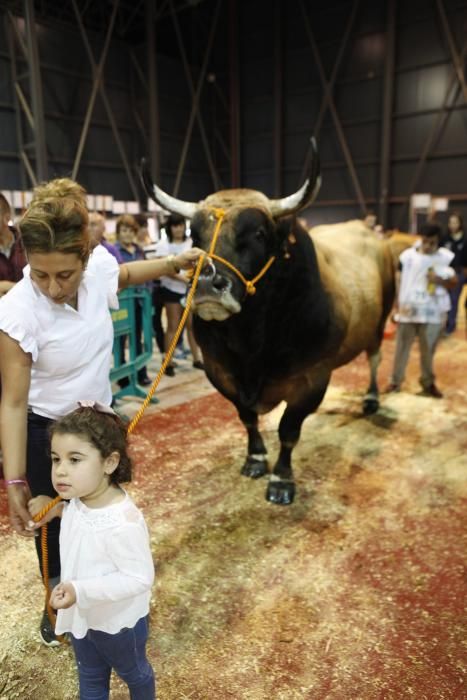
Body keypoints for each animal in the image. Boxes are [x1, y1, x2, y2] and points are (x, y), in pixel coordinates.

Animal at [141, 144, 412, 504]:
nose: (207, 285)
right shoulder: (220, 372)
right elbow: (248, 419)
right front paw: (255, 458)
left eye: (258, 233)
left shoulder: (312, 379)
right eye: (193, 235)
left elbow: (288, 430)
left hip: (380, 321)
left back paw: (371, 398)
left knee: (374, 357)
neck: (251, 346)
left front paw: (282, 479)